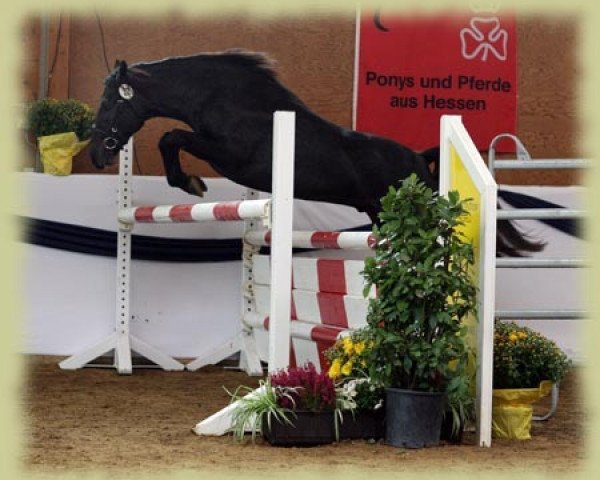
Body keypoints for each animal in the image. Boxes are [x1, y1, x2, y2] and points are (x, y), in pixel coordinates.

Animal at [89, 50, 544, 256]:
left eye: (110, 103)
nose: (96, 154)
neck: (227, 101)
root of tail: (419, 158)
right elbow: (172, 138)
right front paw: (190, 182)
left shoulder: (232, 156)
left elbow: (171, 138)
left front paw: (191, 183)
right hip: (380, 216)